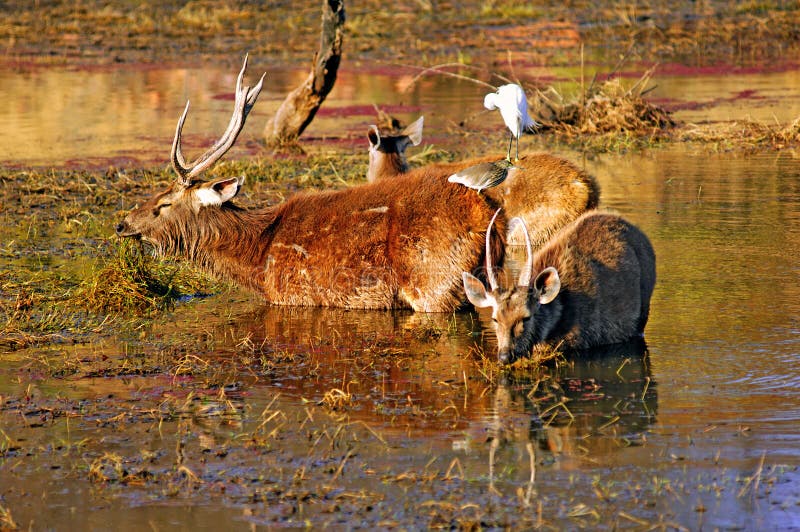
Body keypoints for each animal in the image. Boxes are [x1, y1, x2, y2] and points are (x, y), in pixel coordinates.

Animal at [113, 59, 506, 312]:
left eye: (162, 204)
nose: (121, 224)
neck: (257, 260)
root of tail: (490, 221)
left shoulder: (292, 296)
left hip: (433, 282)